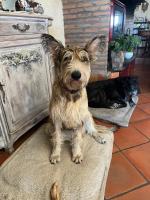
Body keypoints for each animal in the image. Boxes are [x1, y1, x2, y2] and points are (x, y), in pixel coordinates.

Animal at [41, 33, 114, 164]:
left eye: (84, 60)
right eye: (66, 59)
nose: (76, 75)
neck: (71, 93)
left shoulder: (80, 119)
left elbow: (77, 140)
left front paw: (77, 154)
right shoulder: (56, 120)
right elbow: (57, 139)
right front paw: (55, 154)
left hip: (87, 117)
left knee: (91, 131)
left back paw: (99, 137)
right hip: (49, 127)